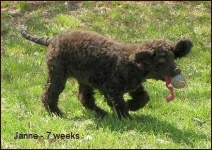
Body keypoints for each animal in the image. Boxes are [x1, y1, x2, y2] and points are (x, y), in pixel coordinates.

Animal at [19, 26, 193, 119]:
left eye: (173, 57)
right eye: (162, 60)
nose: (177, 70)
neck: (132, 64)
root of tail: (52, 39)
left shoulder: (134, 86)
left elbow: (144, 97)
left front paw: (132, 106)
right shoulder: (111, 89)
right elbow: (119, 104)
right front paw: (127, 116)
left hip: (85, 78)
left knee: (84, 98)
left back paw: (101, 113)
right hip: (58, 75)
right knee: (49, 94)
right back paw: (56, 113)